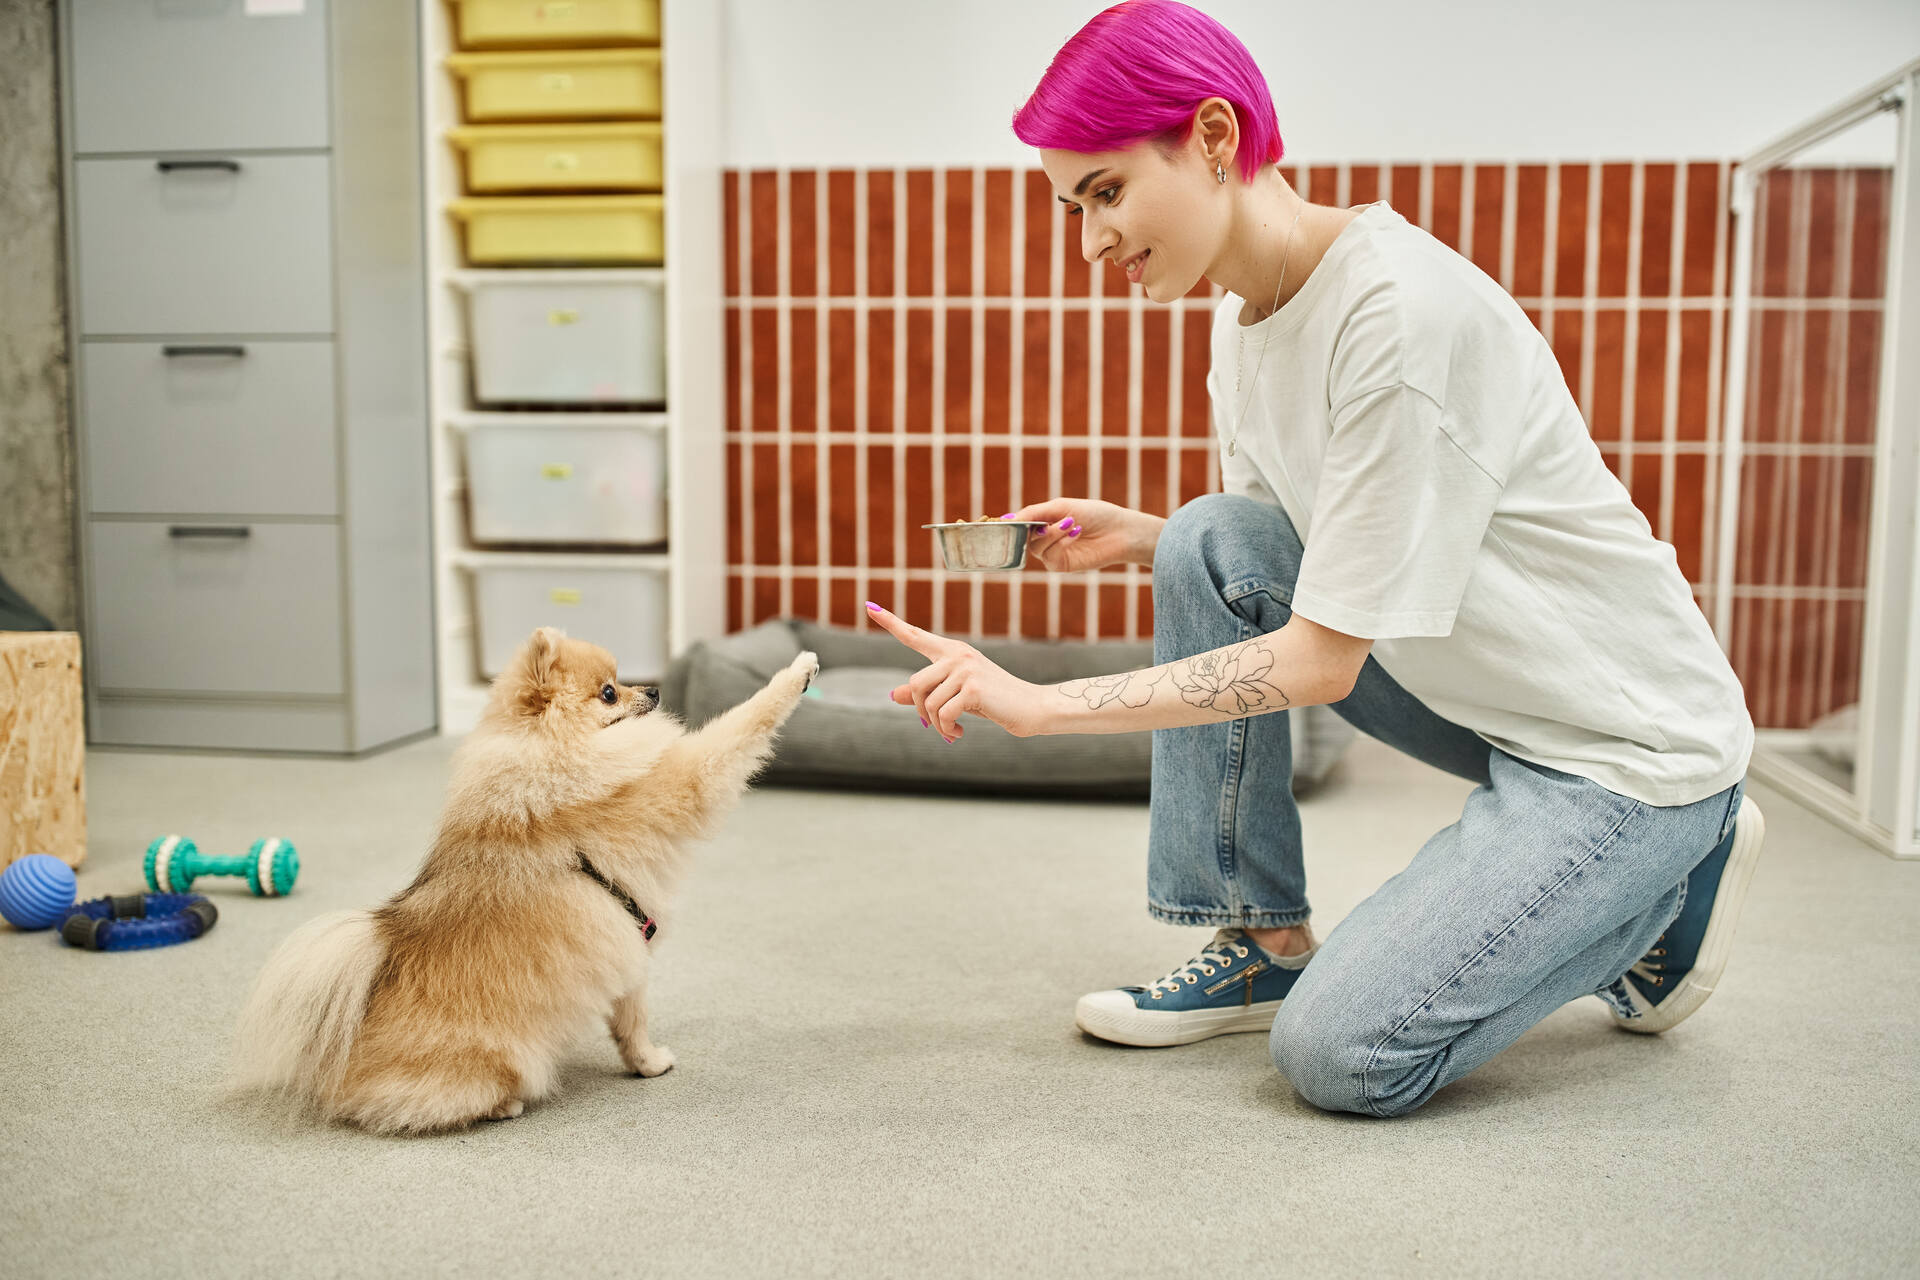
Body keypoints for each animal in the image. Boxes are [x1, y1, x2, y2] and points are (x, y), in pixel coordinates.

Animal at [232, 625, 817, 1136]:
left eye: (622, 682)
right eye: (609, 693)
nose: (653, 689)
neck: (550, 755)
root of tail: (333, 1068)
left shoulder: (626, 946)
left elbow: (631, 1022)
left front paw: (645, 1064)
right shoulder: (681, 785)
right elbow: (739, 726)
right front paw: (798, 669)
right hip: (495, 1061)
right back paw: (504, 1105)